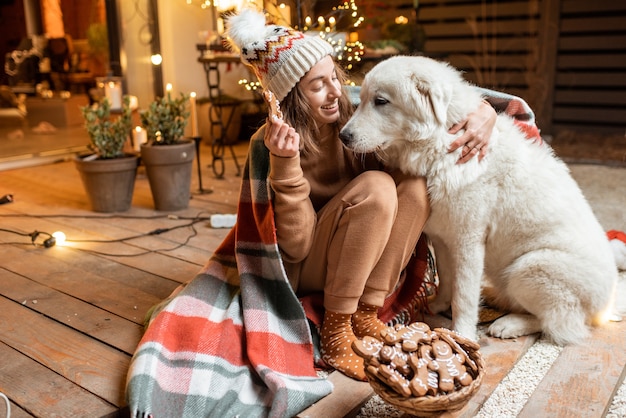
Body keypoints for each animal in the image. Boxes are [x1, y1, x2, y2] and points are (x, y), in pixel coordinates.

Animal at [342, 55, 620, 344]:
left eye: (381, 101)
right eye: (362, 99)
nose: (343, 136)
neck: (442, 143)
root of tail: (606, 305)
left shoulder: (468, 240)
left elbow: (464, 294)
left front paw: (462, 333)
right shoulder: (442, 237)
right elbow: (447, 278)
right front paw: (440, 304)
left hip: (530, 268)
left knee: (558, 323)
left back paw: (508, 324)